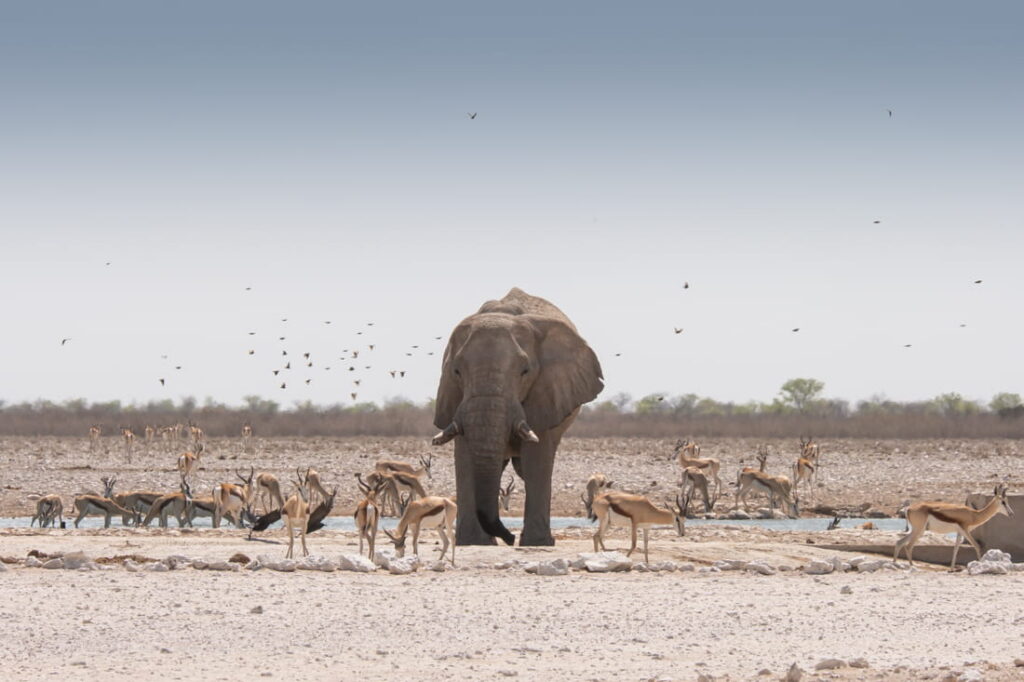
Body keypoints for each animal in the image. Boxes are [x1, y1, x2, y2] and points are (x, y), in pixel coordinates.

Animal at [432, 287, 604, 546]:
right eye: (456, 371)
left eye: (525, 371)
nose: (509, 538)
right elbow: (464, 458)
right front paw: (474, 542)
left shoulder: (547, 393)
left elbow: (537, 459)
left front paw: (537, 543)